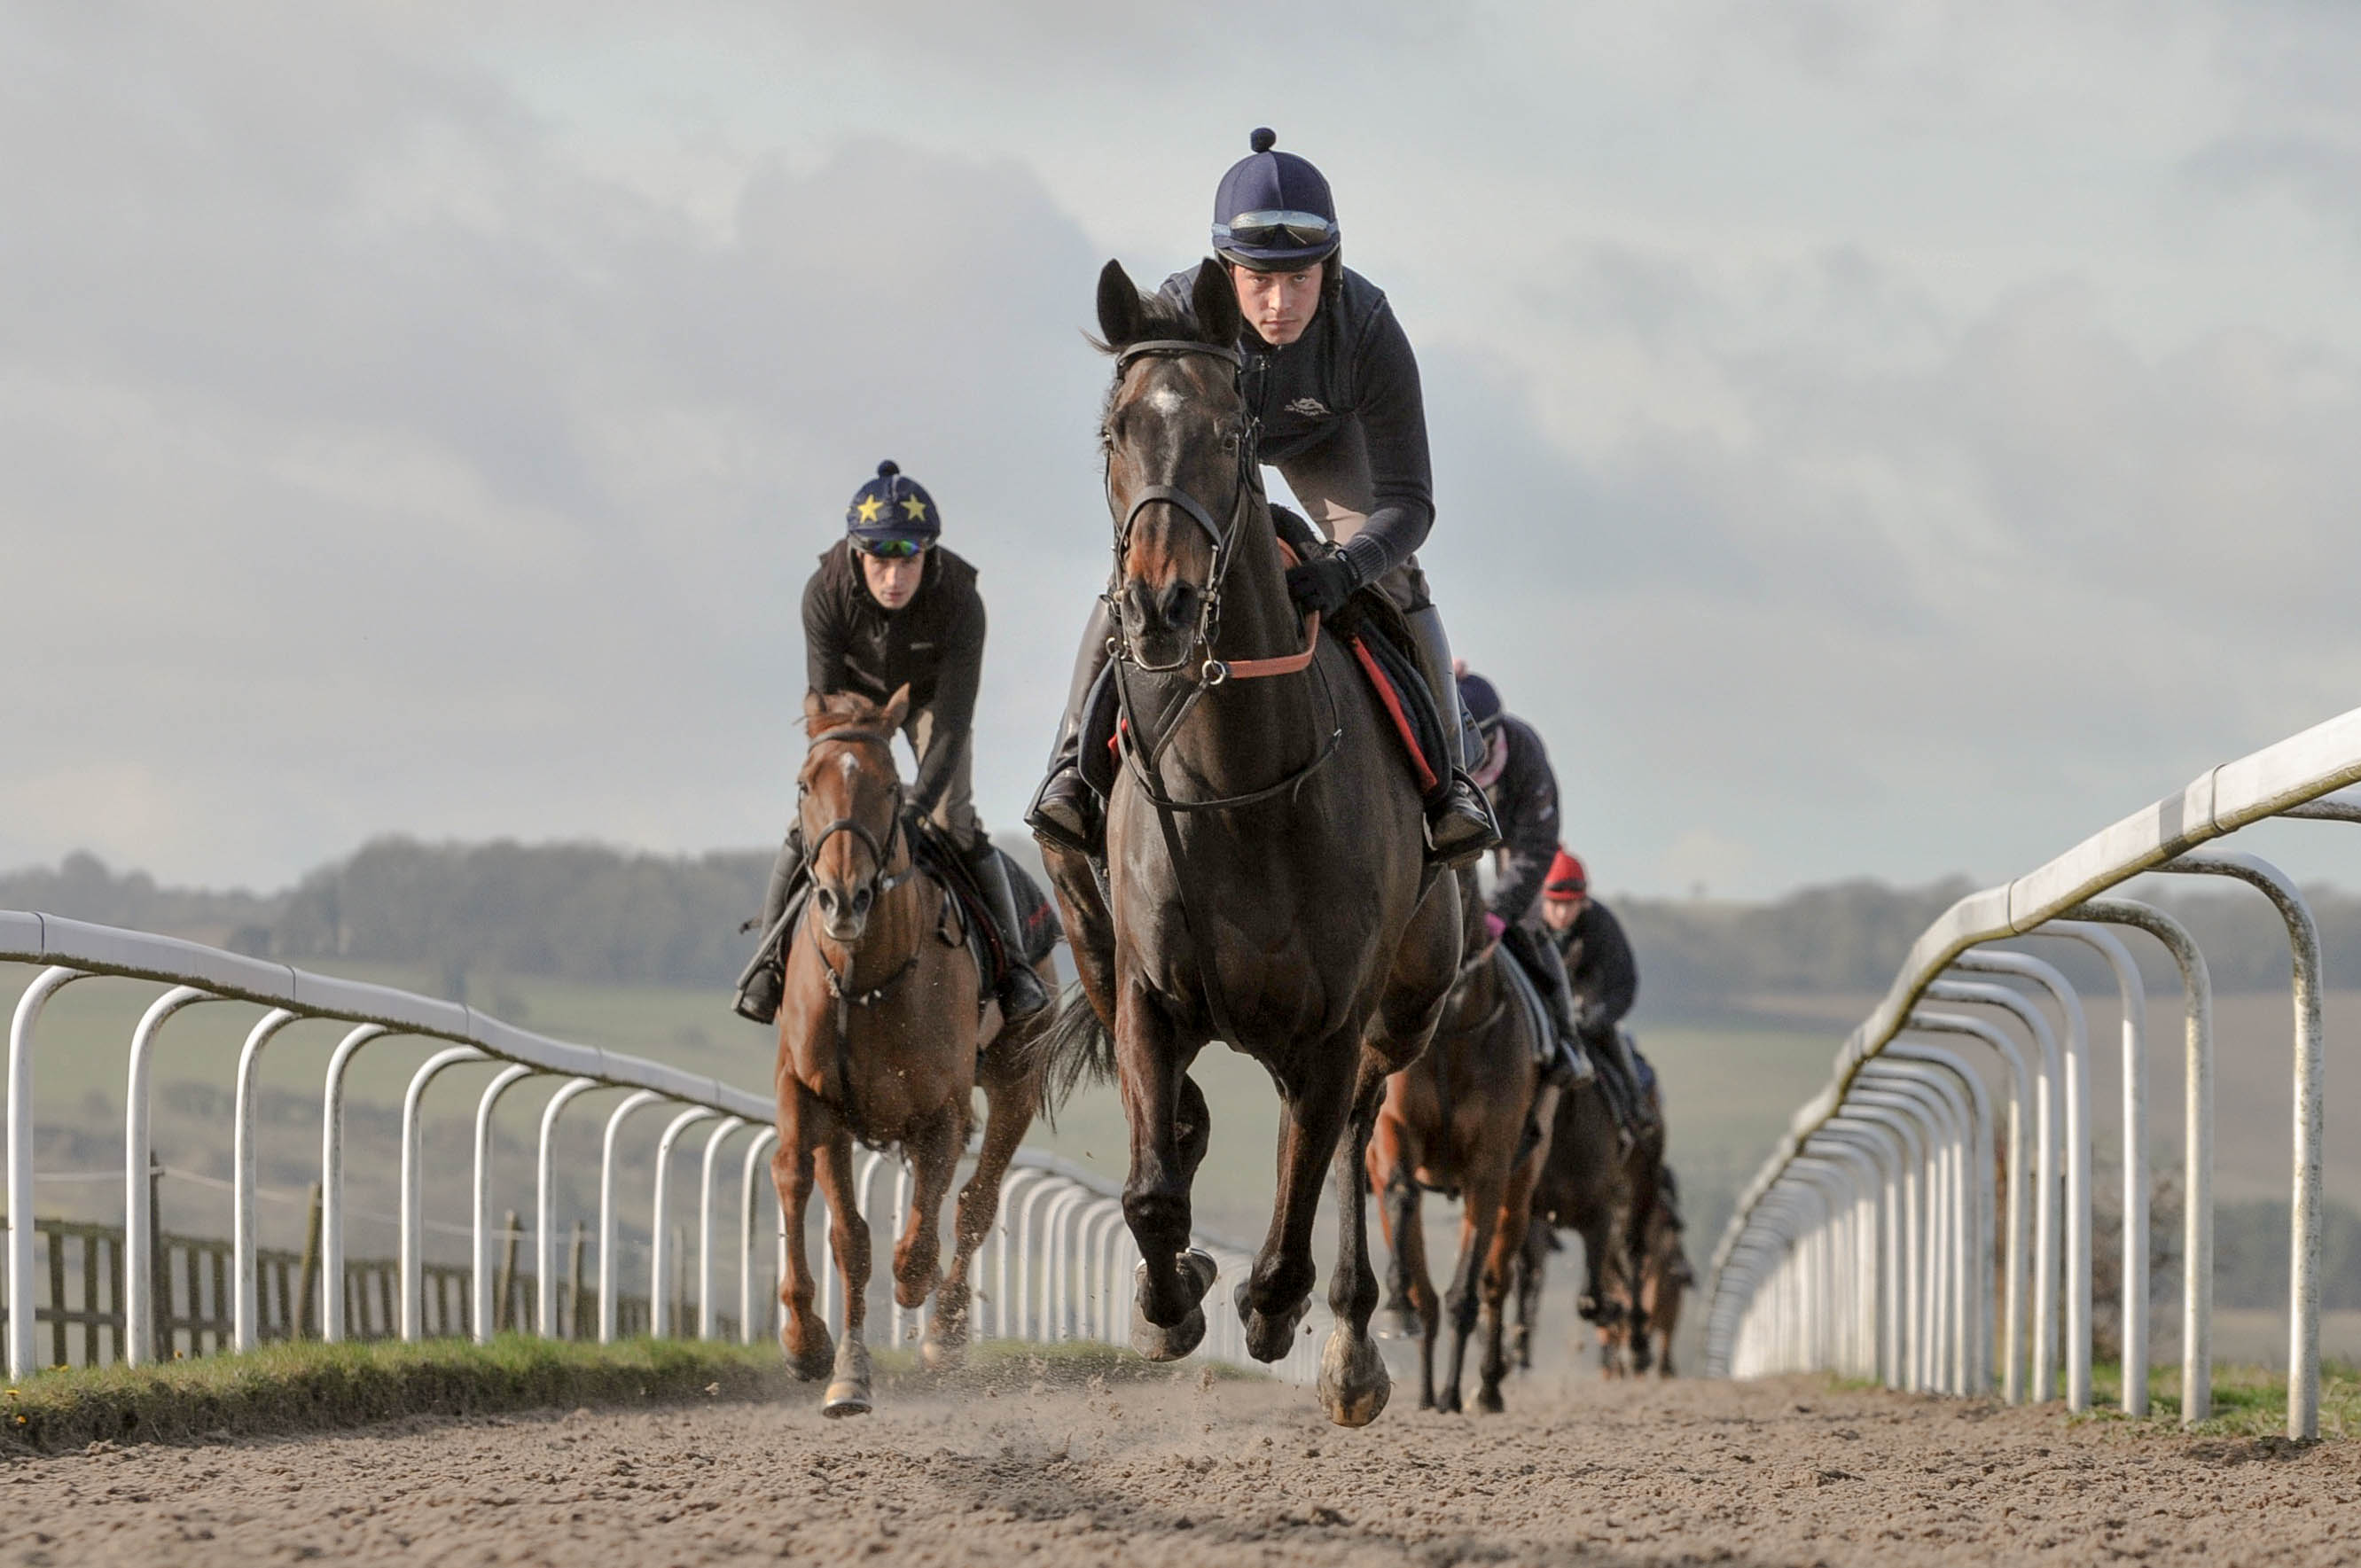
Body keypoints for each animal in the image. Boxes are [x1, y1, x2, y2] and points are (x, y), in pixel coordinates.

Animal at [1034, 260, 1454, 1435]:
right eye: (1113, 432)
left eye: (1230, 433)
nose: (1160, 604)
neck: (1242, 784)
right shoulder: (1145, 988)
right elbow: (1148, 1188)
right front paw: (1166, 1299)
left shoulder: (1335, 1025)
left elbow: (1304, 1189)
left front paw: (1276, 1307)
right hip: (1091, 929)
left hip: (1406, 1006)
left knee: (1348, 1139)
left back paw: (1349, 1342)